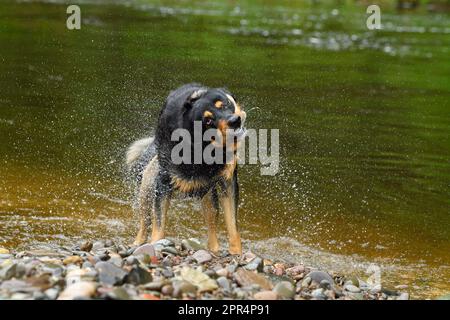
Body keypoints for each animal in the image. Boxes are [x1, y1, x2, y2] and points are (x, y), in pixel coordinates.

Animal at [125, 83, 246, 255]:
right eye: (208, 121)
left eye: (224, 104)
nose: (235, 121)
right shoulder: (163, 183)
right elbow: (158, 223)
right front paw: (155, 245)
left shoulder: (228, 182)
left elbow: (232, 225)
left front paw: (237, 252)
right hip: (147, 187)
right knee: (145, 221)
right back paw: (137, 243)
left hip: (208, 194)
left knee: (211, 225)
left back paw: (214, 249)